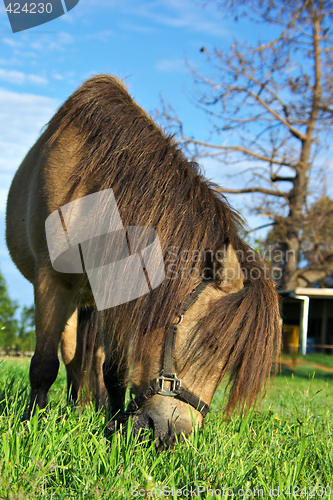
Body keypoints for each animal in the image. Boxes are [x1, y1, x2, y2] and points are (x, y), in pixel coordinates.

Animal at [5, 75, 280, 450]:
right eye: (210, 344)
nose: (171, 438)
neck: (93, 194)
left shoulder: (115, 293)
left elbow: (114, 370)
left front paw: (113, 423)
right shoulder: (51, 281)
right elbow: (44, 365)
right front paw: (30, 425)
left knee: (86, 360)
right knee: (71, 355)